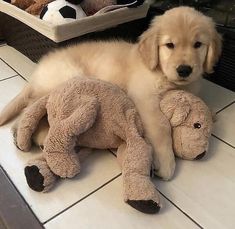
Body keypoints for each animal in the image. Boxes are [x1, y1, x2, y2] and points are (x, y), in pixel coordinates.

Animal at [0, 6, 221, 180]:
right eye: (169, 45)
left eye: (198, 44)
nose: (185, 70)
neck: (162, 73)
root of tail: (37, 72)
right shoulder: (145, 97)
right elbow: (161, 126)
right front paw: (166, 162)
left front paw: (211, 113)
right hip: (67, 78)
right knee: (31, 109)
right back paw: (29, 135)